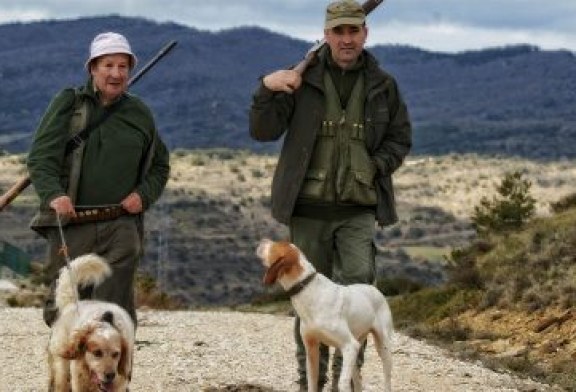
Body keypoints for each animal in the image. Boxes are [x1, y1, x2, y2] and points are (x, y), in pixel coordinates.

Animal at [47, 254, 135, 392]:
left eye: (116, 354)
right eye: (97, 353)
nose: (110, 375)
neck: (105, 320)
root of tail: (72, 304)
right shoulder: (79, 381)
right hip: (62, 367)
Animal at [255, 239, 394, 392]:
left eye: (273, 246)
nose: (262, 240)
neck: (308, 289)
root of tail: (374, 288)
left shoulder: (350, 345)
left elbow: (342, 383)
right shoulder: (312, 349)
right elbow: (312, 381)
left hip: (381, 347)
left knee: (386, 378)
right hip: (355, 352)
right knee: (358, 381)